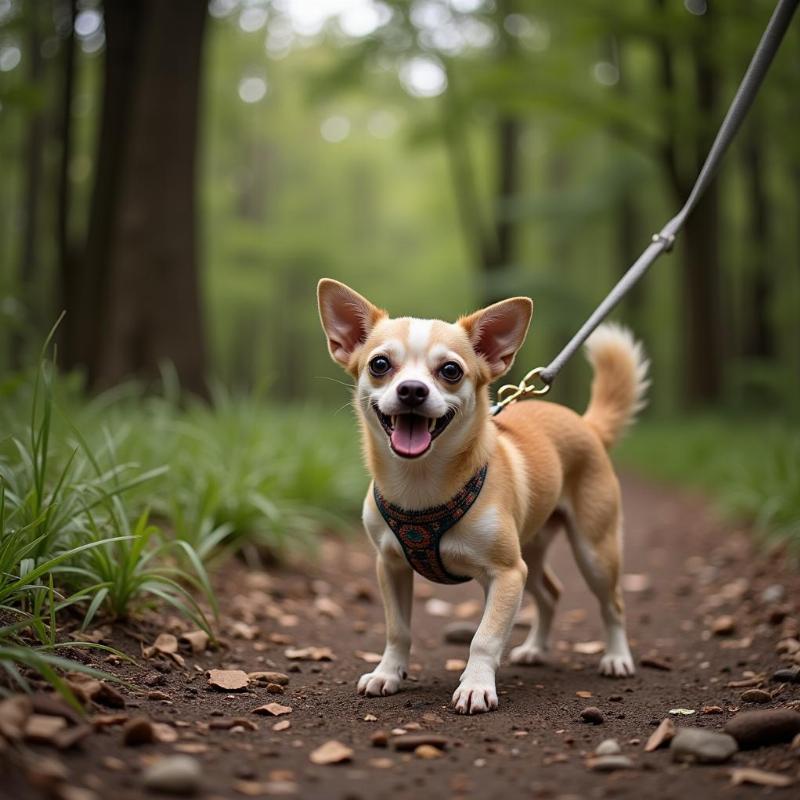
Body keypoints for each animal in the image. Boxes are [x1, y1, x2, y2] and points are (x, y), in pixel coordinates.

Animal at [318, 280, 648, 712]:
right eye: (379, 365)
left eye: (451, 370)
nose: (412, 390)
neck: (420, 484)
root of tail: (586, 425)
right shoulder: (390, 566)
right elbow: (397, 630)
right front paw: (388, 674)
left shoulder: (506, 574)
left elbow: (485, 638)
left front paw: (476, 685)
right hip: (532, 553)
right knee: (550, 593)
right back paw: (535, 648)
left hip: (594, 551)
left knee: (613, 604)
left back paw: (617, 657)